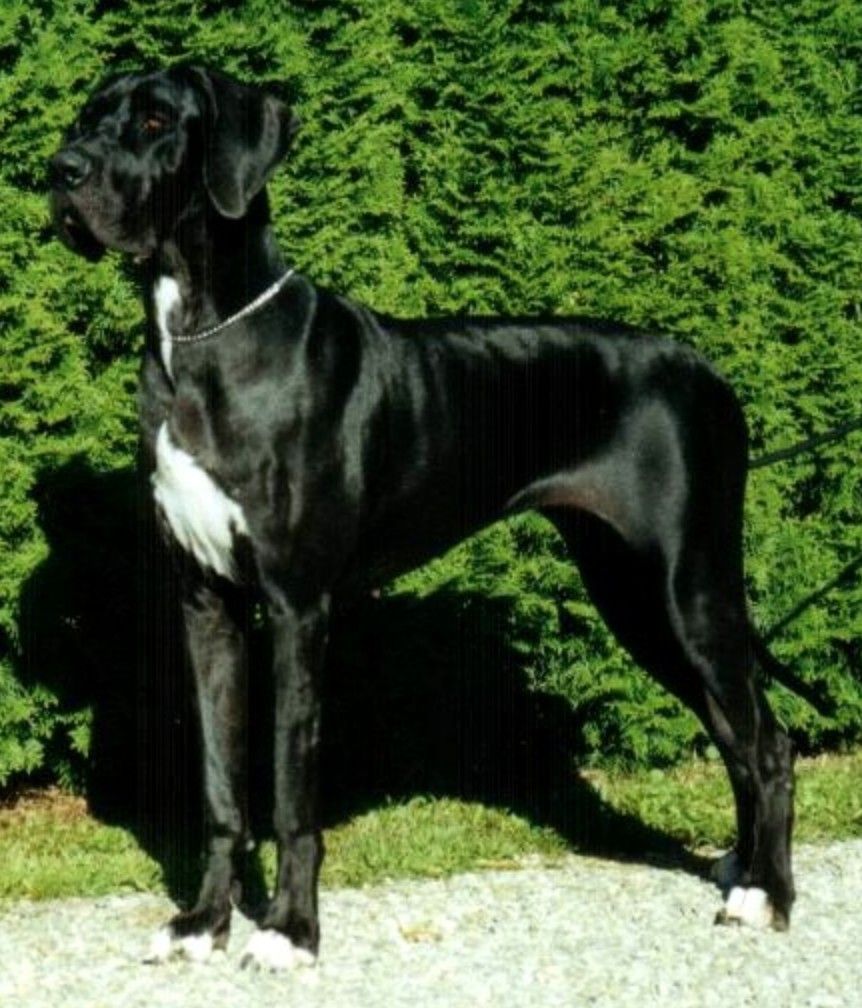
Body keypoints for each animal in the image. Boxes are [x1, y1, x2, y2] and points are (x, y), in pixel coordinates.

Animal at [50, 65, 795, 968]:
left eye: (157, 121)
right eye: (89, 116)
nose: (61, 169)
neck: (201, 333)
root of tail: (709, 369)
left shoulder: (297, 608)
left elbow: (290, 785)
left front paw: (289, 929)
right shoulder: (208, 605)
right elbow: (223, 784)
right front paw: (204, 923)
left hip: (688, 588)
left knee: (769, 743)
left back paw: (769, 895)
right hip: (634, 595)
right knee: (733, 733)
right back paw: (743, 872)